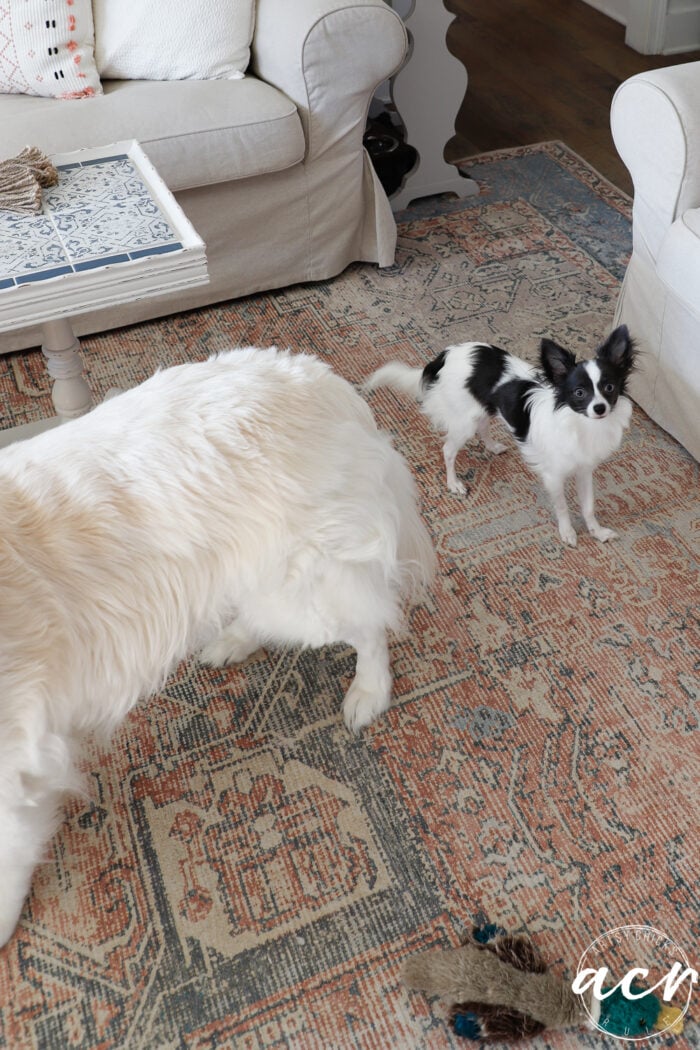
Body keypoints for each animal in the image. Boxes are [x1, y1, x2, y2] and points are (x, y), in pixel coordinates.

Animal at [0, 348, 434, 949]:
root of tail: (325, 381)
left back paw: (368, 693)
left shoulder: (17, 751)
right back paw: (230, 642)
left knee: (371, 625)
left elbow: (11, 854)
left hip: (301, 589)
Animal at [367, 323, 633, 546]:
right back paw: (454, 483)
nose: (600, 408)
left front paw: (598, 532)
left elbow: (588, 506)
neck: (581, 424)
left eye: (609, 388)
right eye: (579, 392)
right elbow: (563, 508)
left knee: (483, 427)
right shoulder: (554, 476)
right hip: (465, 422)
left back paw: (492, 446)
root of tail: (446, 355)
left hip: (483, 408)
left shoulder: (584, 470)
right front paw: (567, 533)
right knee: (448, 449)